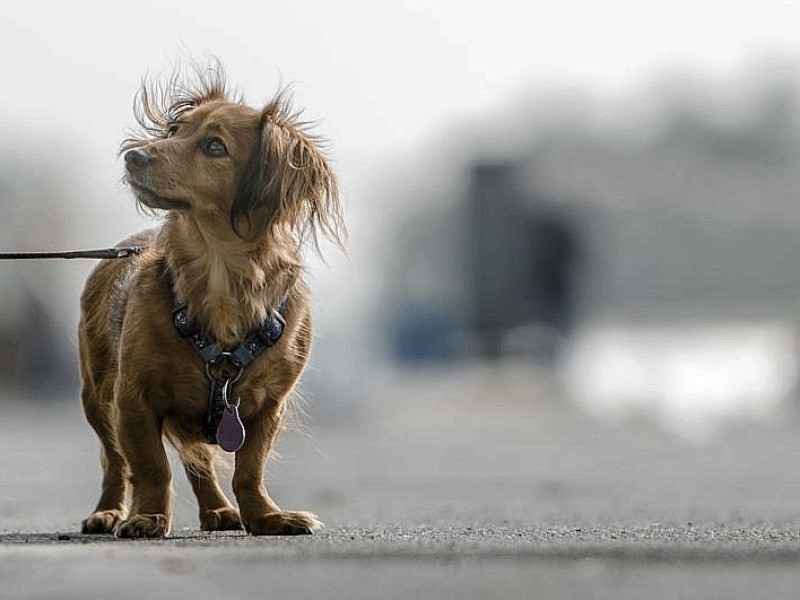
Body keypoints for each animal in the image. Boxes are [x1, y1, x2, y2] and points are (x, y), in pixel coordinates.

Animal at [78, 65, 344, 540]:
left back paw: (219, 510)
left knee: (199, 462)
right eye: (174, 131)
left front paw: (267, 517)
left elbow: (249, 470)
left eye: (214, 146)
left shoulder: (268, 406)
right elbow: (150, 466)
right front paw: (148, 517)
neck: (220, 273)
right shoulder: (132, 398)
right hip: (97, 396)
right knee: (115, 460)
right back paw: (108, 512)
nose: (134, 157)